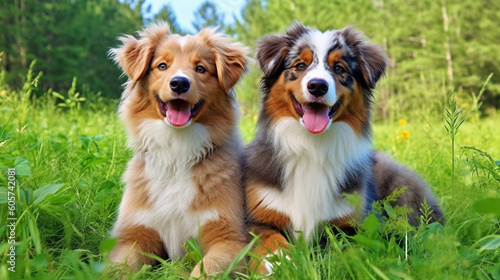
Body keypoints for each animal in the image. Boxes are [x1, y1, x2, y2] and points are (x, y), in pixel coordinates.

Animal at [110, 22, 249, 278]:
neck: (176, 151)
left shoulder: (229, 239)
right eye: (162, 65)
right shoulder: (133, 235)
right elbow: (118, 268)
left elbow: (206, 269)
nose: (179, 83)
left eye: (201, 68)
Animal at [244, 22, 444, 274]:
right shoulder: (258, 218)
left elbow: (350, 254)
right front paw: (280, 267)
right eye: (300, 65)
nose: (317, 86)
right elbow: (270, 243)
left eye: (339, 68)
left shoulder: (352, 224)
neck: (312, 146)